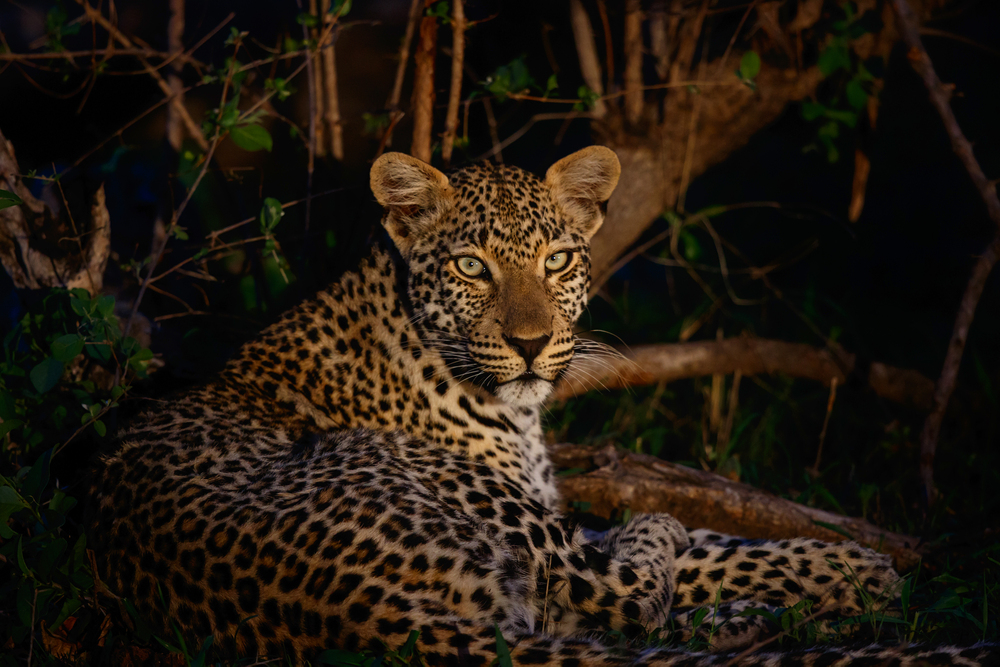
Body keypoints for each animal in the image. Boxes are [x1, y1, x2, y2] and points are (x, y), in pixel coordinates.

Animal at [87, 147, 995, 666]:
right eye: (471, 267)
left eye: (557, 259)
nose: (530, 345)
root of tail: (358, 614)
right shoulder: (540, 521)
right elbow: (694, 551)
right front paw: (859, 570)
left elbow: (725, 540)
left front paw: (850, 560)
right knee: (634, 590)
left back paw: (753, 617)